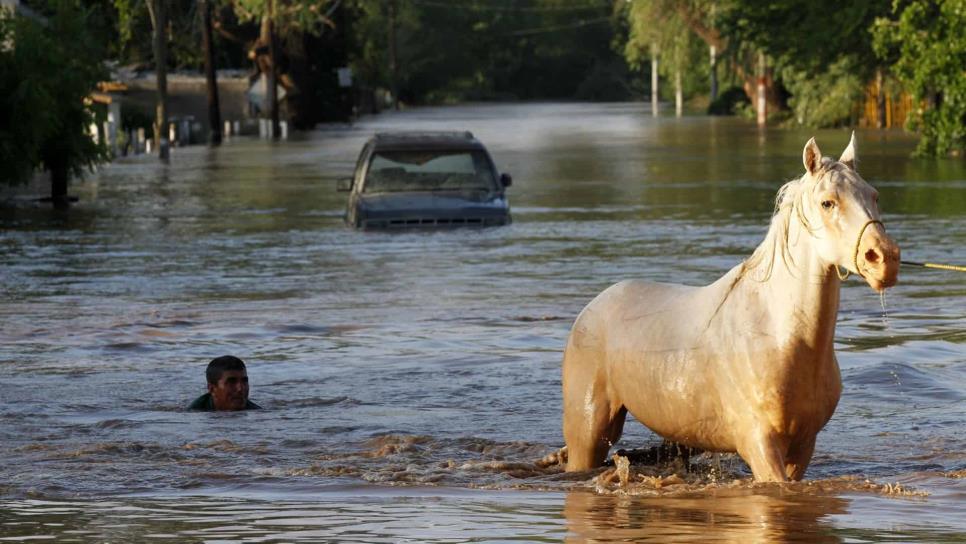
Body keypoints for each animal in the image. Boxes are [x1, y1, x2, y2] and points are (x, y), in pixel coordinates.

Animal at [564, 134, 904, 482]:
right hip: (588, 434)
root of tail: (593, 307)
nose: (884, 258)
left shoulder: (803, 446)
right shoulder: (759, 444)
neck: (777, 335)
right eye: (827, 203)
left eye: (874, 196)